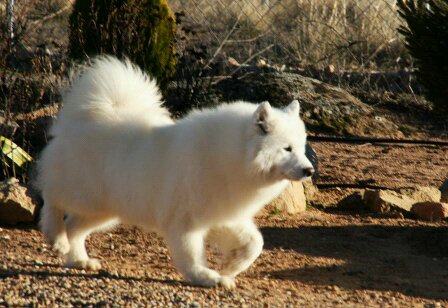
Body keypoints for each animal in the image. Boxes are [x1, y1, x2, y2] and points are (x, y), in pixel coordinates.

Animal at [36, 56, 314, 288]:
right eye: (286, 148)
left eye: (301, 148)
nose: (309, 170)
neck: (230, 156)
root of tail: (83, 118)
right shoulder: (185, 221)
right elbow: (191, 256)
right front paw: (207, 277)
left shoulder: (224, 214)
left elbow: (255, 243)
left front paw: (231, 267)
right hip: (85, 194)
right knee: (52, 198)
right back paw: (56, 237)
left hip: (105, 209)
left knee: (73, 227)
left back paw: (77, 259)